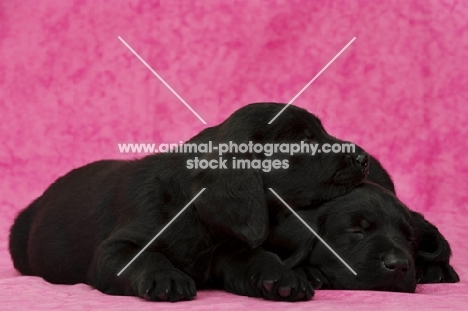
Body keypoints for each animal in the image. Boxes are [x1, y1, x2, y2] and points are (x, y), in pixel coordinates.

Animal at [7, 103, 370, 304]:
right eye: (304, 141)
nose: (365, 158)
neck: (196, 218)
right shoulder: (113, 250)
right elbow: (145, 256)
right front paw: (166, 278)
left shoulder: (229, 250)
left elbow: (257, 256)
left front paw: (281, 276)